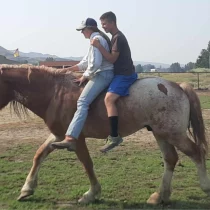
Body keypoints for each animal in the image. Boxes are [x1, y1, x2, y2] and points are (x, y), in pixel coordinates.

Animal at [0, 64, 210, 205]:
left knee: (196, 153)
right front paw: (27, 189)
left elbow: (87, 164)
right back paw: (160, 196)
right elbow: (39, 155)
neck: (55, 93)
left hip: (173, 134)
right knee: (171, 159)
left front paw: (91, 194)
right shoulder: (59, 136)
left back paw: (204, 187)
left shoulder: (77, 140)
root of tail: (178, 86)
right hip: (161, 134)